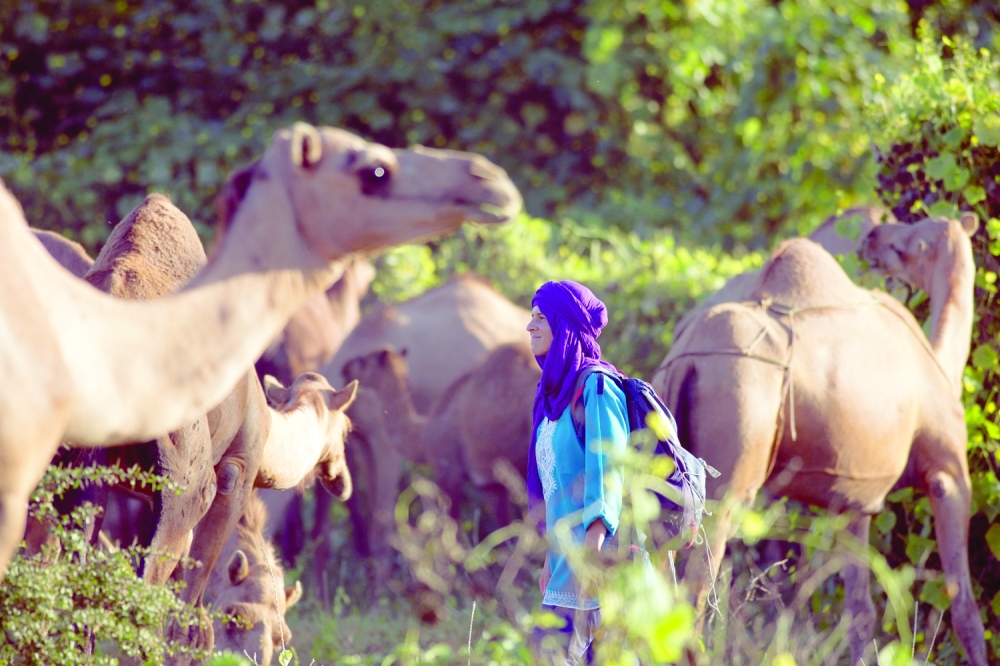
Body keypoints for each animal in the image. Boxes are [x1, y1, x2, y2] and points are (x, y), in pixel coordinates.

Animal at [651, 213, 985, 665]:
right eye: (908, 241)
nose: (874, 237)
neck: (940, 365)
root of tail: (682, 361)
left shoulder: (854, 501)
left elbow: (860, 611)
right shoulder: (948, 473)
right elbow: (964, 606)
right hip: (729, 476)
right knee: (696, 594)